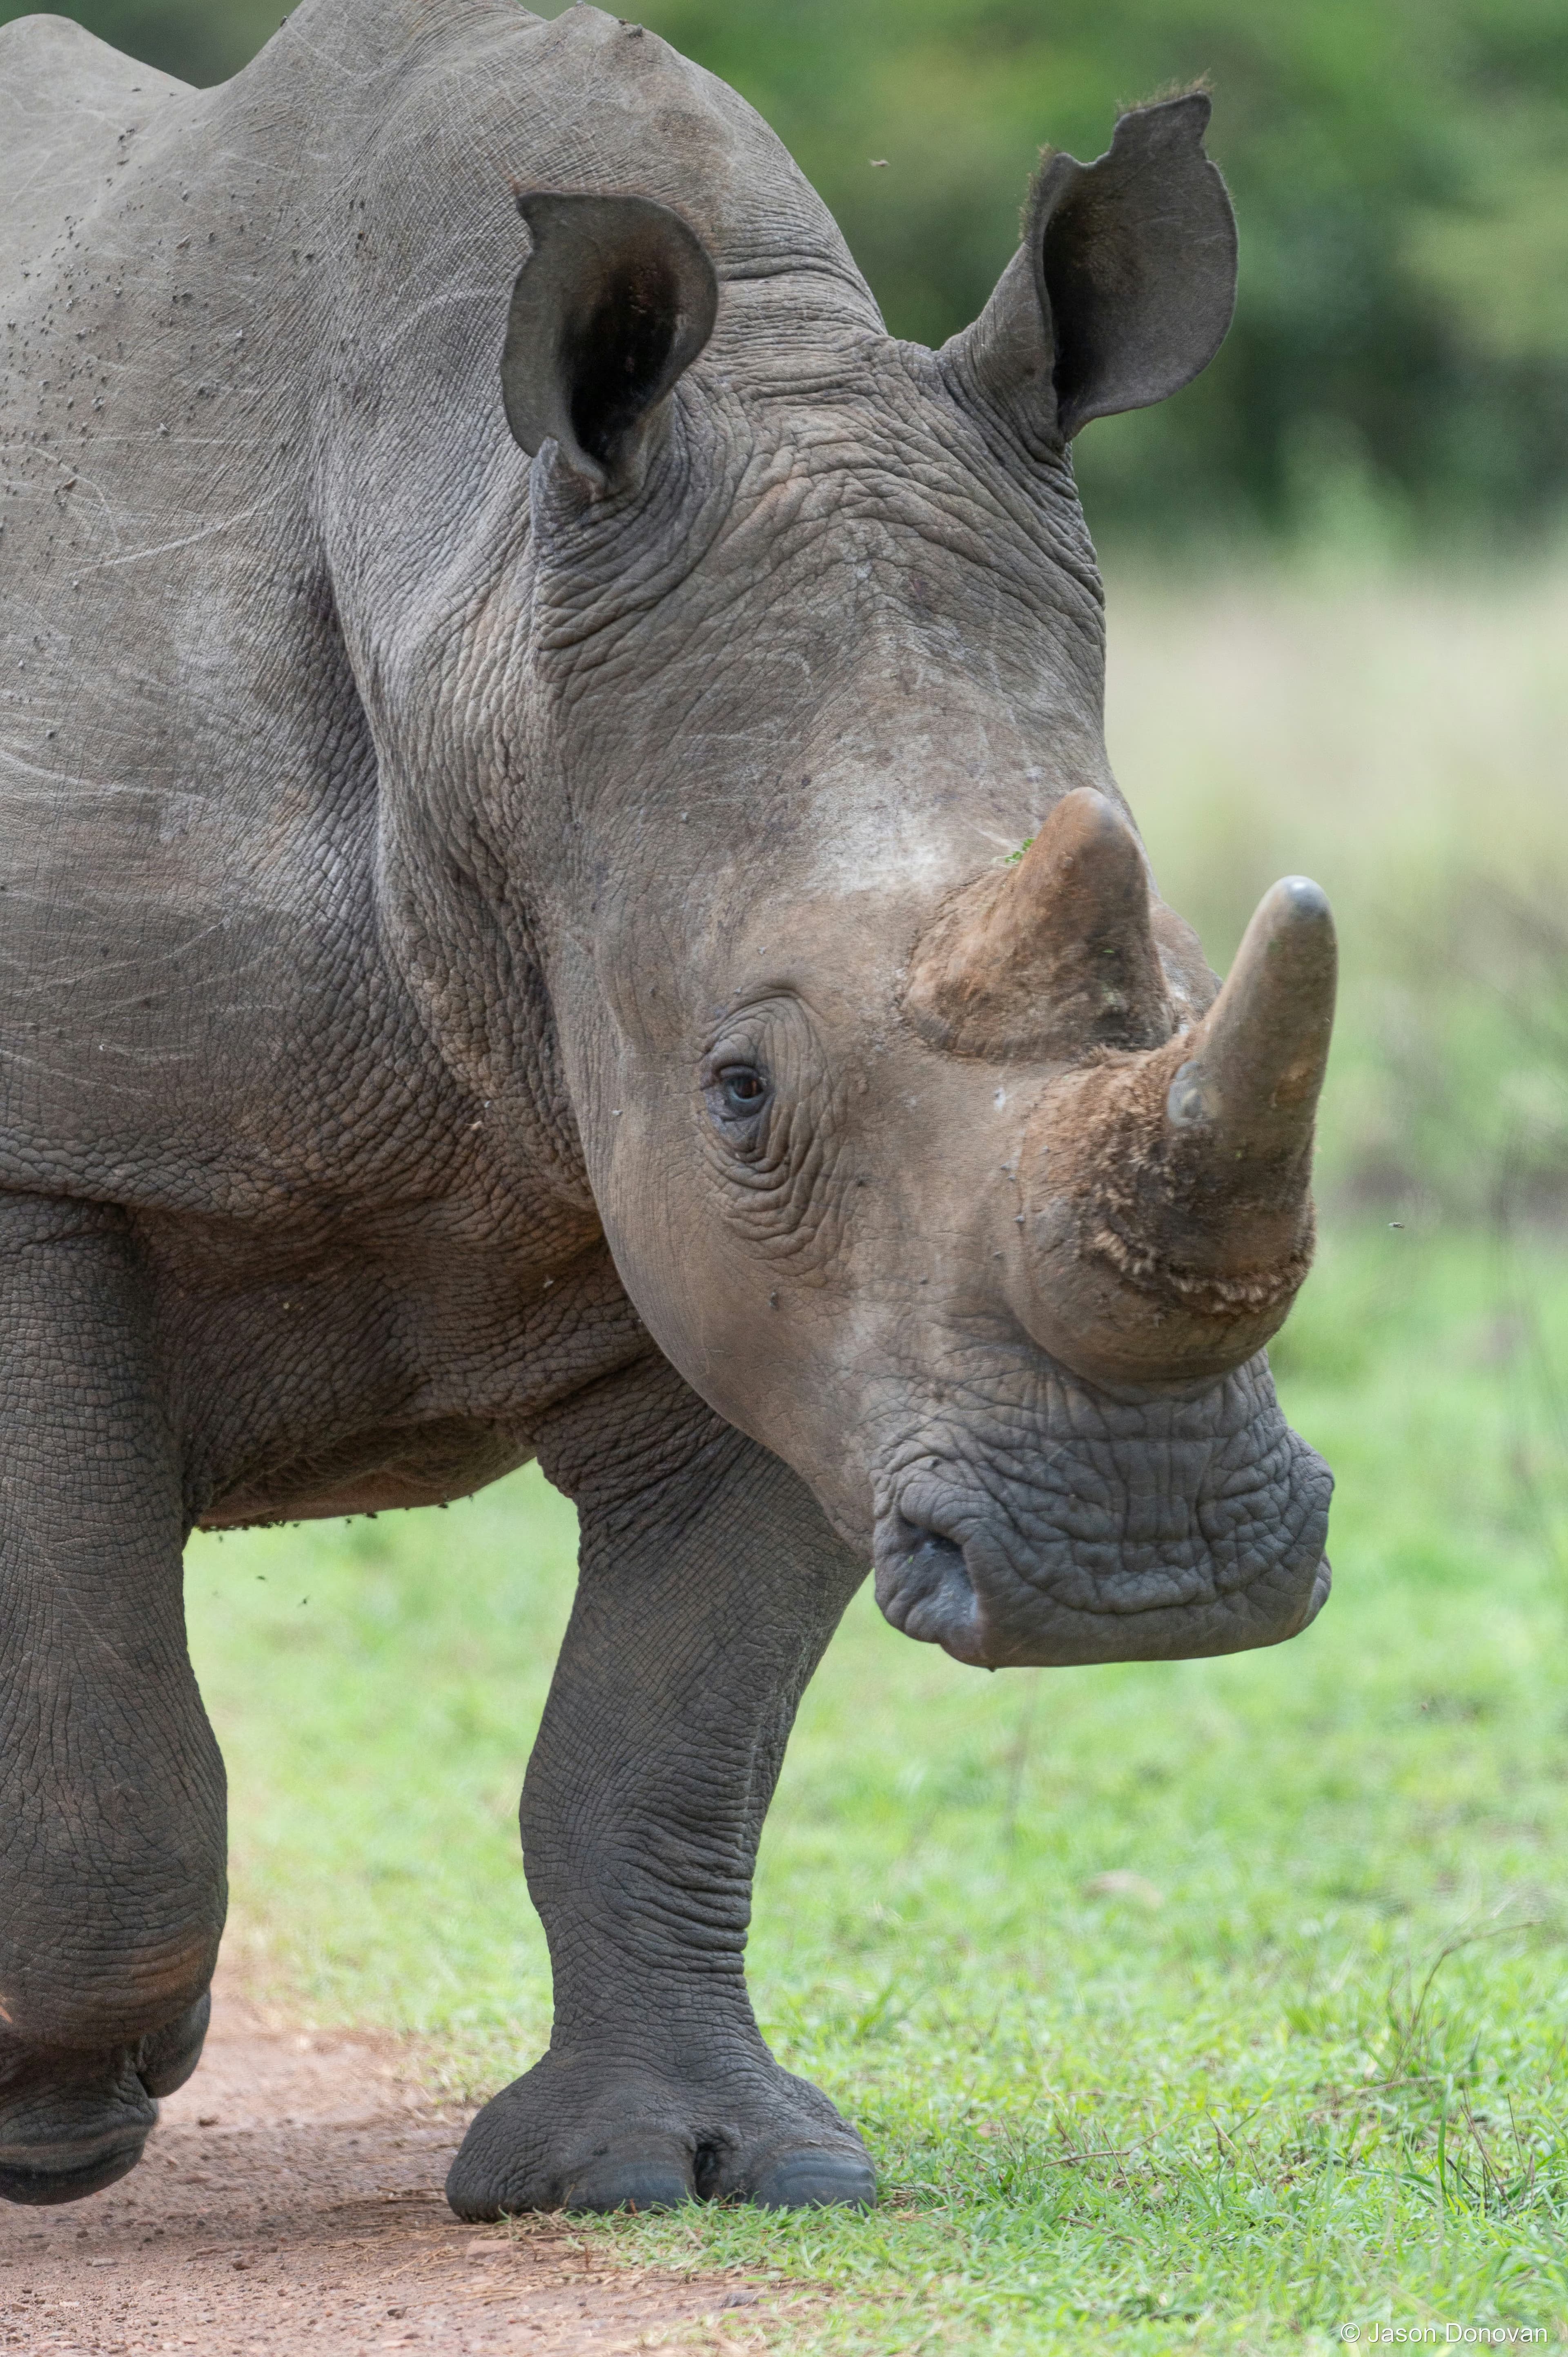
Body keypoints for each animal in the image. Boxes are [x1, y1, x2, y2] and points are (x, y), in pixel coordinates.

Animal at [0, 0, 1335, 2218]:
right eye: (740, 1087)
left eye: (1169, 979)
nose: (1148, 1569)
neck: (473, 603)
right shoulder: (51, 1155)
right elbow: (94, 1701)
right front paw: (59, 2108)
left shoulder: (827, 1305)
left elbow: (662, 1738)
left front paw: (684, 2157)